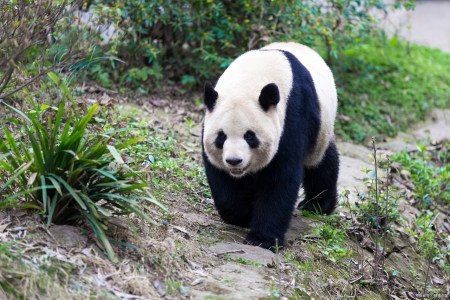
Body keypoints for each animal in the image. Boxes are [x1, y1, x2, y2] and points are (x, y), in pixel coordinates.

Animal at [202, 41, 340, 250]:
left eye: (250, 136)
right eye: (221, 137)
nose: (234, 161)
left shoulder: (292, 115)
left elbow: (281, 178)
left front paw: (262, 238)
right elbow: (221, 179)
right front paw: (243, 214)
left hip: (321, 128)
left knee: (322, 164)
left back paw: (316, 205)